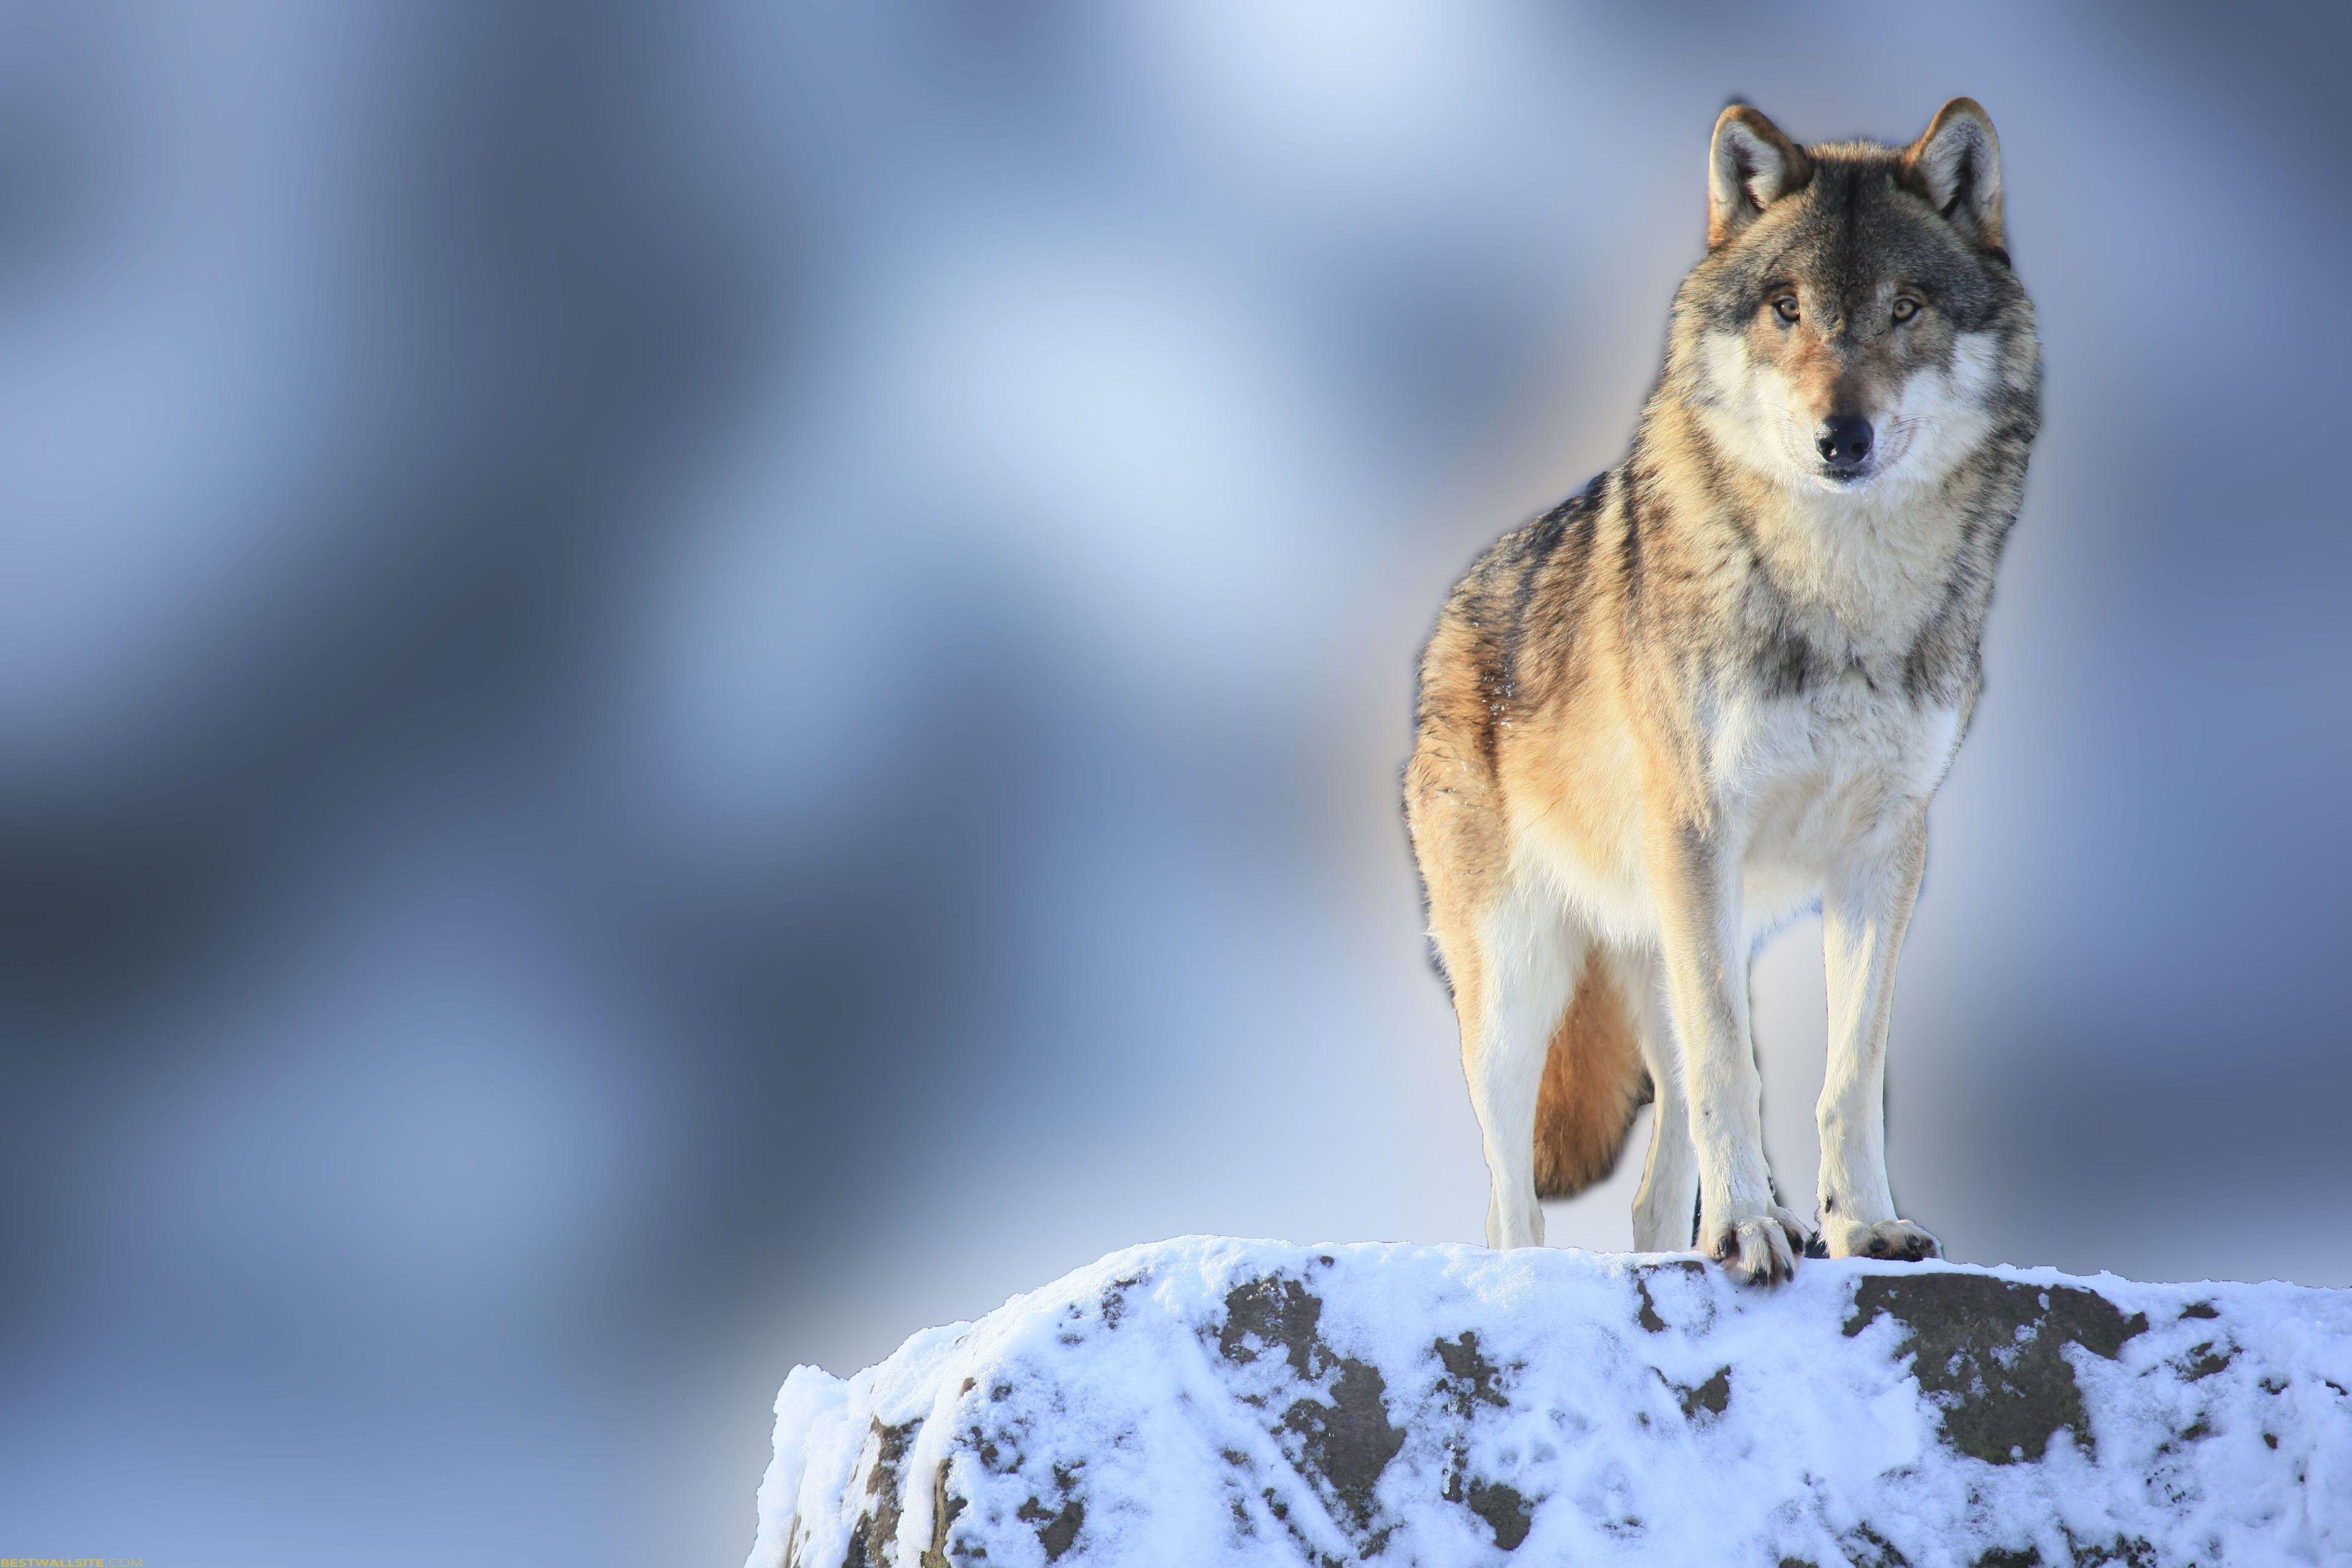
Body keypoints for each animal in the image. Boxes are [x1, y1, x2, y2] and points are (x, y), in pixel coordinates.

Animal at [1405, 100, 2039, 1284]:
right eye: (1786, 308)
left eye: (1904, 308)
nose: (1843, 437)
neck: (1840, 594)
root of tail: (1454, 607)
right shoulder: (1701, 835)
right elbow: (1729, 1073)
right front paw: (1749, 1227)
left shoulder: (1886, 848)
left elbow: (1850, 1073)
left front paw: (1861, 1225)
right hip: (1518, 985)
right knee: (1510, 1195)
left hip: (1677, 943)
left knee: (1651, 1186)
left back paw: (1674, 1258)